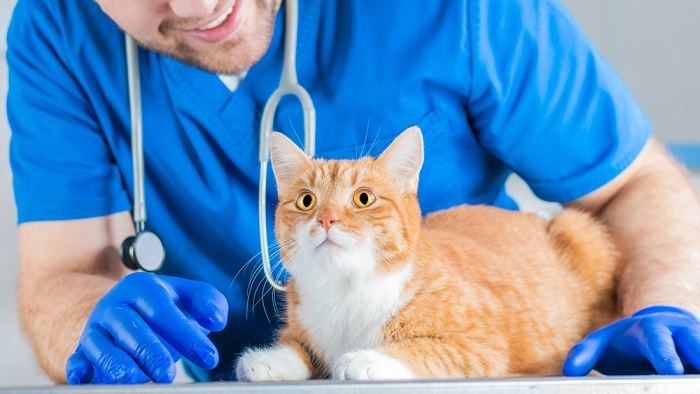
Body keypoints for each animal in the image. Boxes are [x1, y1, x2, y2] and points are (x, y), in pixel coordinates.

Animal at [234, 126, 616, 382]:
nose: (327, 219)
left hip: (579, 228)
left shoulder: (483, 345)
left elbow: (425, 349)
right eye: (306, 201)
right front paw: (269, 360)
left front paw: (366, 360)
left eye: (363, 198)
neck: (347, 290)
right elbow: (298, 347)